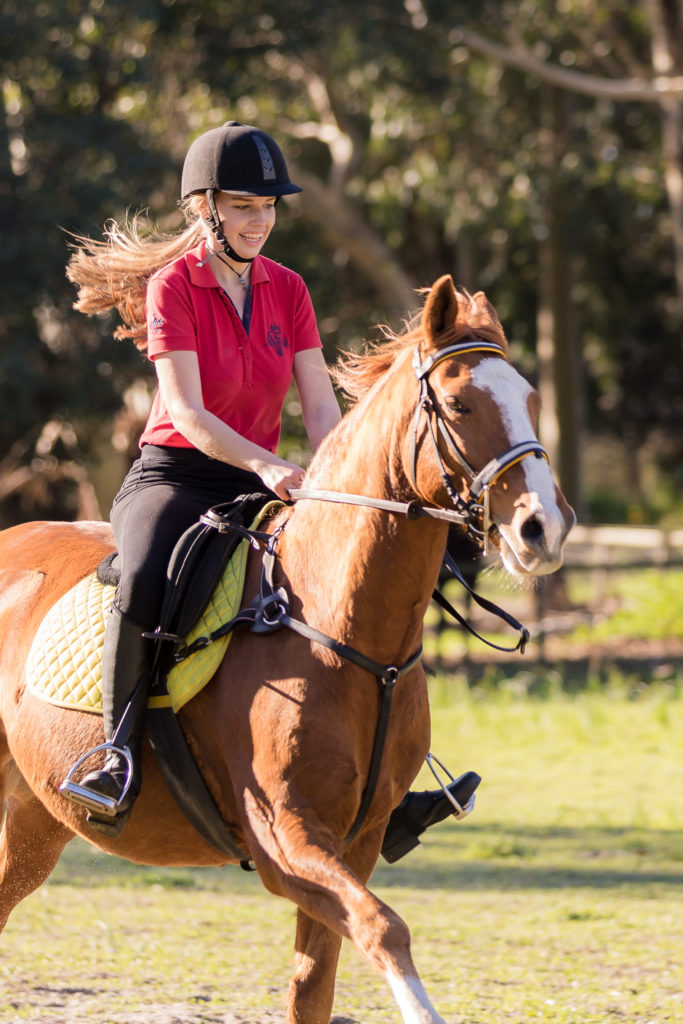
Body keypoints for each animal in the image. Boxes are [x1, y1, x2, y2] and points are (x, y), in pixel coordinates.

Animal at [2, 278, 573, 1024]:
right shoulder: (284, 841)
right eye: (457, 405)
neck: (348, 634)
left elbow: (314, 983)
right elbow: (384, 928)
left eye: (530, 400)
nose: (544, 529)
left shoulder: (356, 841)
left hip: (34, 822)